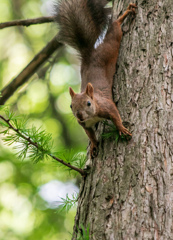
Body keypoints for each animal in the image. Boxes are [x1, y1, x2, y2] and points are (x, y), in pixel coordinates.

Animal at [55, 0, 137, 158]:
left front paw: (121, 129)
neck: (91, 116)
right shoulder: (85, 125)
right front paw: (93, 145)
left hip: (110, 46)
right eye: (71, 106)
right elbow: (90, 135)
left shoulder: (106, 106)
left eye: (88, 103)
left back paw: (124, 15)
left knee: (115, 29)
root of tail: (89, 54)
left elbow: (116, 116)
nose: (79, 115)